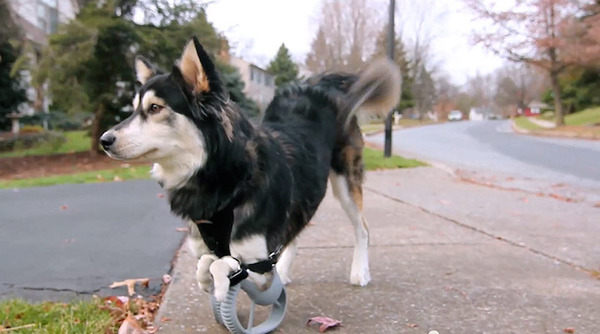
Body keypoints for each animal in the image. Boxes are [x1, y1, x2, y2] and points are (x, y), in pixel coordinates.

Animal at [101, 37, 400, 302]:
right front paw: (209, 280)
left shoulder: (259, 264)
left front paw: (219, 281)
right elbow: (206, 261)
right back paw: (284, 270)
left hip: (346, 183)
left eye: (155, 108)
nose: (104, 140)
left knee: (362, 229)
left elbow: (222, 263)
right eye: (133, 109)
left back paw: (359, 271)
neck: (224, 180)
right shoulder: (212, 247)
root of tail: (316, 87)